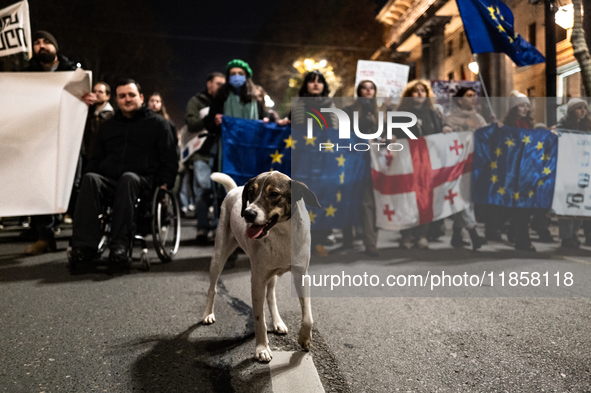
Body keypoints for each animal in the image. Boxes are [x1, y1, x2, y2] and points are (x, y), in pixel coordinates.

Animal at [201, 171, 322, 362]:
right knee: (212, 288)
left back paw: (278, 322)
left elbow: (308, 317)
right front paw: (262, 348)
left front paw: (304, 339)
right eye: (251, 192)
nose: (248, 213)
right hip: (219, 256)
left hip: (270, 274)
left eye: (274, 194)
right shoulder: (257, 281)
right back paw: (207, 314)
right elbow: (259, 319)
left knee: (271, 296)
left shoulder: (301, 275)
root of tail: (234, 189)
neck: (281, 233)